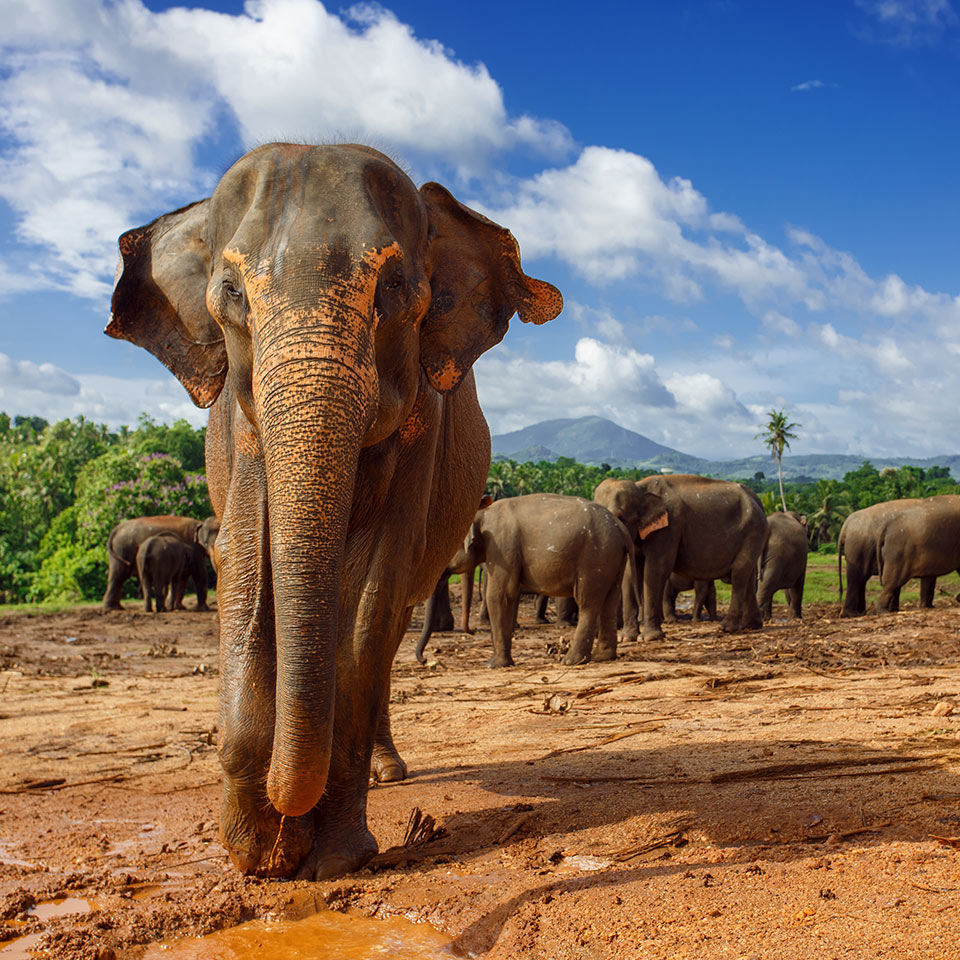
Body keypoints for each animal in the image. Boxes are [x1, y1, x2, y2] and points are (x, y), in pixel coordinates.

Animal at [103, 139, 564, 880]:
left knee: (389, 622)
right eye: (230, 292)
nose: (283, 833)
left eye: (396, 288)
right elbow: (244, 558)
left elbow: (372, 589)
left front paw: (333, 859)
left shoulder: (423, 425)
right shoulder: (240, 423)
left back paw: (386, 772)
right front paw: (256, 853)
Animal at [438, 496, 640, 668]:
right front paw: (503, 662)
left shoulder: (503, 548)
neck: (483, 512)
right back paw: (602, 657)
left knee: (588, 603)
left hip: (595, 557)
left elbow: (499, 596)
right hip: (612, 557)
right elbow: (509, 596)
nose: (473, 630)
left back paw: (571, 661)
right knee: (609, 601)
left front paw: (494, 665)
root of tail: (619, 526)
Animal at [596, 474, 768, 640]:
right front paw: (626, 638)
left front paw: (649, 638)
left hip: (752, 530)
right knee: (748, 576)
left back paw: (726, 628)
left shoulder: (670, 526)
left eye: (620, 517)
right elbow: (629, 574)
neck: (640, 487)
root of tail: (757, 500)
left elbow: (656, 570)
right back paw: (752, 625)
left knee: (739, 574)